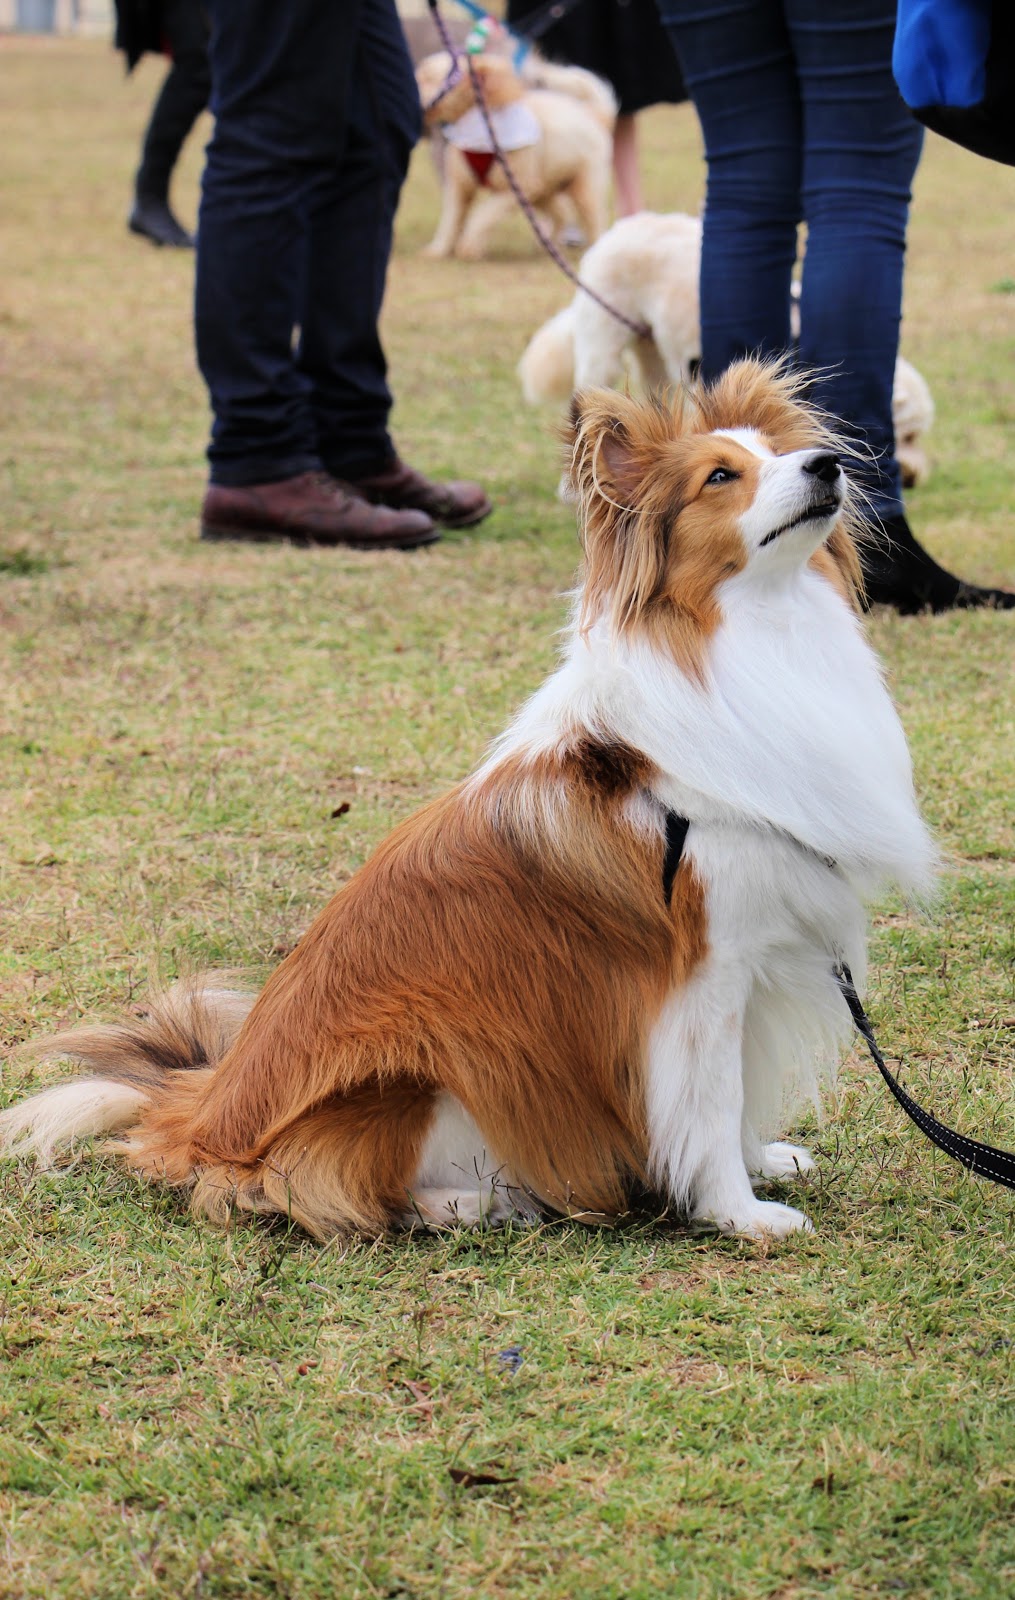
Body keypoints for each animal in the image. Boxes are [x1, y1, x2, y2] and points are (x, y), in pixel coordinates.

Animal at [0, 366, 934, 1248]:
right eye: (718, 477)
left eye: (779, 454)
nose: (827, 463)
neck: (752, 635)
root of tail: (195, 1122)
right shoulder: (700, 974)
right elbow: (706, 1104)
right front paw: (738, 1213)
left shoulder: (753, 961)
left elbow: (733, 1096)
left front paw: (757, 1162)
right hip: (432, 1065)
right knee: (323, 1187)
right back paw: (470, 1204)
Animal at [409, 52, 608, 262]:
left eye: (428, 78)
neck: (481, 127)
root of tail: (594, 114)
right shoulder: (460, 185)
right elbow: (450, 220)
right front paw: (437, 251)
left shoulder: (515, 189)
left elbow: (483, 215)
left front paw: (470, 248)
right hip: (543, 191)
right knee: (561, 214)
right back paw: (547, 246)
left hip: (584, 187)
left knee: (594, 220)